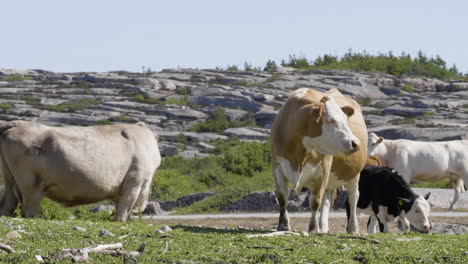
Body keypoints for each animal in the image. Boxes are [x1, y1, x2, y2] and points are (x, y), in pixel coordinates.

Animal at [0, 120, 161, 221]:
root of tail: (16, 124)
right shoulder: (135, 181)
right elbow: (123, 211)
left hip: (10, 179)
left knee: (7, 204)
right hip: (31, 185)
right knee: (29, 210)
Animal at [270, 88, 370, 233]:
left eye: (345, 120)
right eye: (330, 120)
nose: (355, 143)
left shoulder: (322, 170)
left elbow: (315, 200)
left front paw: (313, 227)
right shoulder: (277, 166)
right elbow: (282, 197)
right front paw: (283, 225)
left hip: (354, 174)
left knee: (353, 197)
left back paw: (353, 227)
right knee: (327, 199)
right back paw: (323, 227)